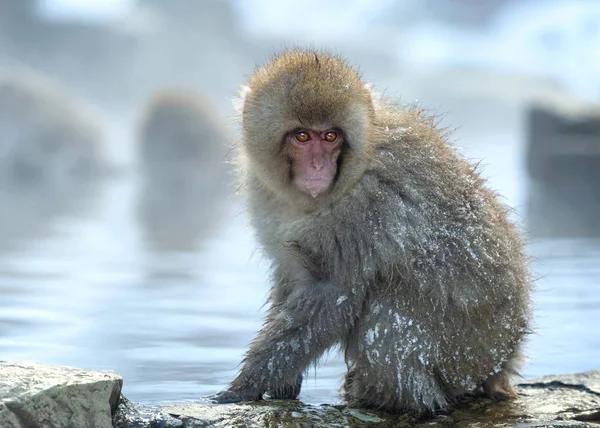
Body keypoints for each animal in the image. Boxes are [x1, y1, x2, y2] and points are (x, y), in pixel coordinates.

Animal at [210, 49, 528, 414]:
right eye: (303, 136)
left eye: (330, 136)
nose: (318, 166)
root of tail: (505, 362)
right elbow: (290, 276)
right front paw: (283, 383)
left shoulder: (361, 212)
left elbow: (331, 299)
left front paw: (246, 384)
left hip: (466, 354)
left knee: (388, 309)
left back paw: (393, 399)